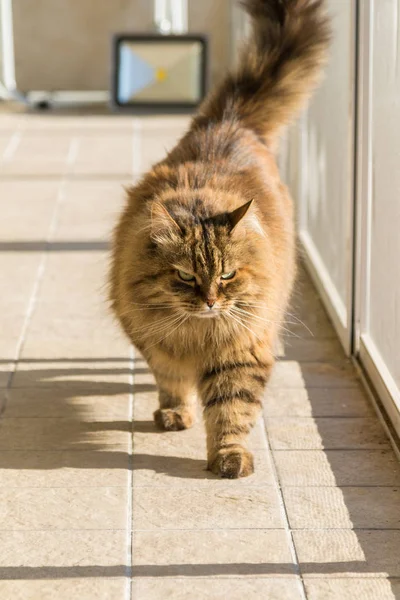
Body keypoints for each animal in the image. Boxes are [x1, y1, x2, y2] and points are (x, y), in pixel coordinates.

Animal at [111, 0, 330, 478]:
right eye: (186, 277)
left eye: (227, 275)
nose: (211, 300)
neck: (197, 334)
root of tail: (229, 123)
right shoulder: (155, 342)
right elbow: (172, 380)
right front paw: (177, 413)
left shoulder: (241, 350)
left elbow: (232, 409)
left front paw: (229, 458)